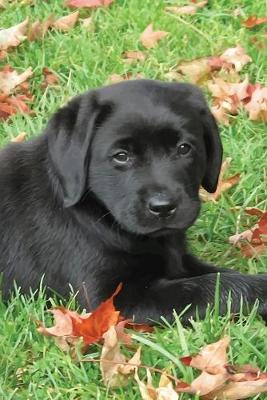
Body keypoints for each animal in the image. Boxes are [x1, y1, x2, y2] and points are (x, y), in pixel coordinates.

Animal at [0, 80, 267, 322]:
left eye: (184, 148)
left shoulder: (179, 262)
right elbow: (210, 287)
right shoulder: (114, 299)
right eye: (121, 156)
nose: (163, 207)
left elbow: (219, 275)